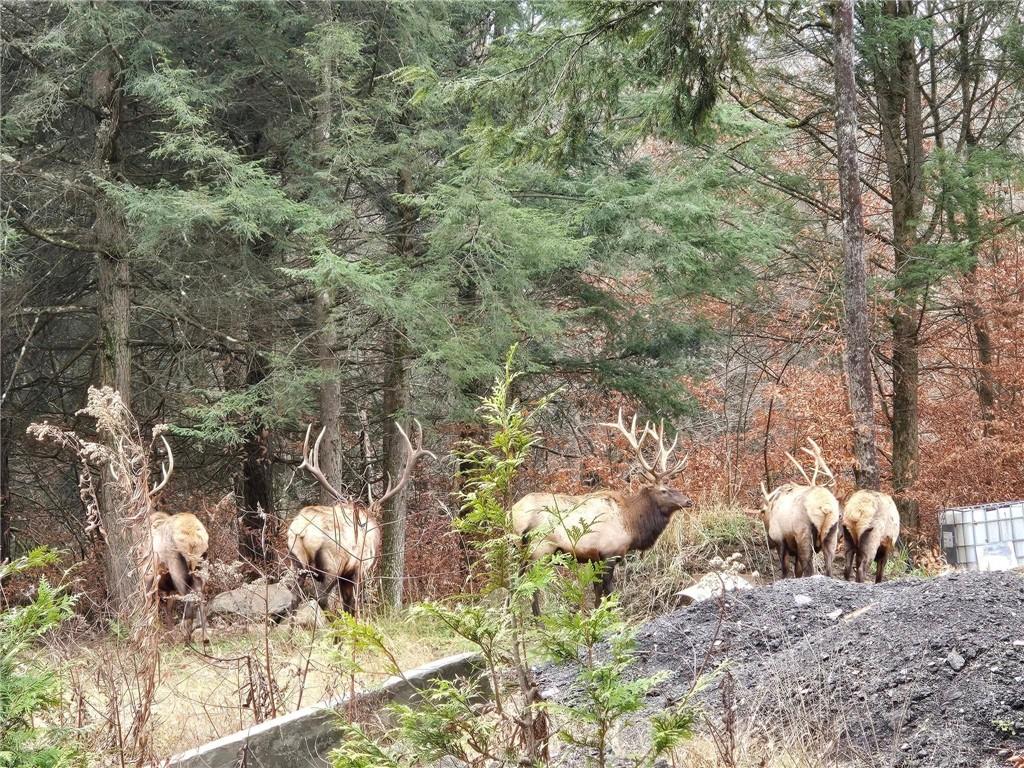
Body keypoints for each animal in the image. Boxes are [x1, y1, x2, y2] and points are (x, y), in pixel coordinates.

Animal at [142, 437, 210, 644]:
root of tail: (193, 539)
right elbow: (168, 607)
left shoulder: (148, 575)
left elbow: (152, 606)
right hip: (203, 562)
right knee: (200, 593)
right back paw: (204, 636)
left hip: (175, 564)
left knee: (190, 595)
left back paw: (187, 636)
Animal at [287, 420, 435, 614]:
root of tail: (301, 530)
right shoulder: (359, 567)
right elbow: (353, 604)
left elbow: (346, 604)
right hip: (330, 563)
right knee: (321, 599)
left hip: (296, 561)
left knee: (293, 598)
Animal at [510, 410, 693, 613]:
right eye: (664, 491)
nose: (688, 501)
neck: (631, 523)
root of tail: (513, 513)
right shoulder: (608, 554)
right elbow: (609, 593)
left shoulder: (594, 558)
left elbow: (597, 594)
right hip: (540, 549)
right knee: (531, 585)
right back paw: (537, 618)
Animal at [760, 438, 841, 579]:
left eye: (762, 512)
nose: (769, 542)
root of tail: (825, 507)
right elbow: (797, 571)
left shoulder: (780, 540)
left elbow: (785, 570)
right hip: (832, 535)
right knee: (829, 569)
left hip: (804, 535)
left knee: (809, 570)